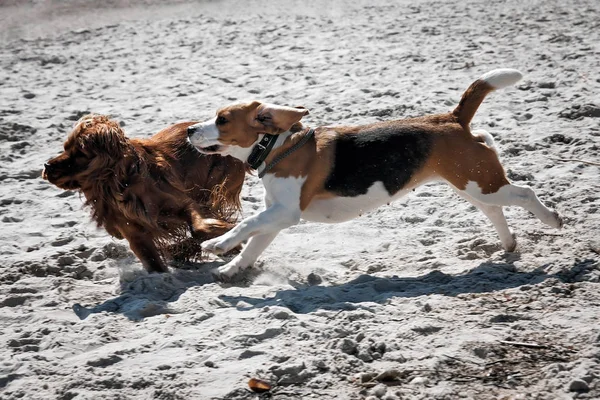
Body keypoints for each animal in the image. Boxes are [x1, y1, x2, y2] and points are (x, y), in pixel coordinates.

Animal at [42, 114, 246, 274]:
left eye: (80, 153)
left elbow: (199, 227)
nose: (46, 166)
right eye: (65, 147)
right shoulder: (136, 236)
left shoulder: (185, 203)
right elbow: (155, 265)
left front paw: (223, 230)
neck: (121, 184)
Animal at [188, 69, 564, 280]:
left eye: (222, 120)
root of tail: (453, 118)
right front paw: (231, 269)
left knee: (526, 193)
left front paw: (218, 244)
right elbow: (253, 244)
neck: (277, 146)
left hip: (482, 185)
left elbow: (246, 225)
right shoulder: (276, 216)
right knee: (496, 209)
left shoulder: (285, 213)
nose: (190, 129)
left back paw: (551, 219)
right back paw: (509, 244)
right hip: (474, 186)